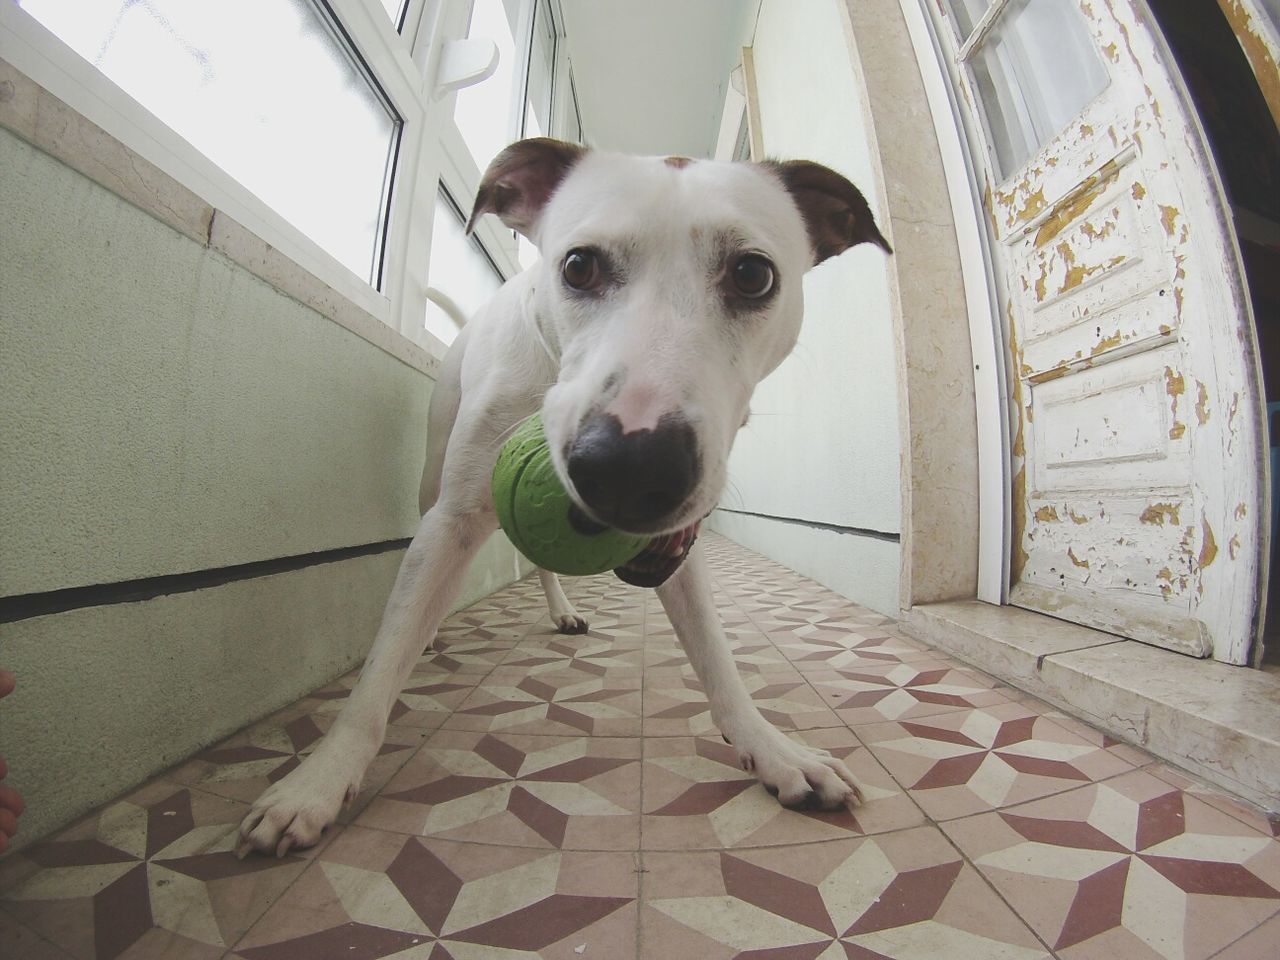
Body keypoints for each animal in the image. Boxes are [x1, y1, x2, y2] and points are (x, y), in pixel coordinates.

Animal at [235, 136, 885, 855]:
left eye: (753, 275)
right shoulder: (451, 521)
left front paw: (771, 749)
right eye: (578, 266)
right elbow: (379, 671)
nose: (631, 467)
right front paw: (319, 779)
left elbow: (717, 658)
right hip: (432, 477)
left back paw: (563, 609)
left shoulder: (679, 547)